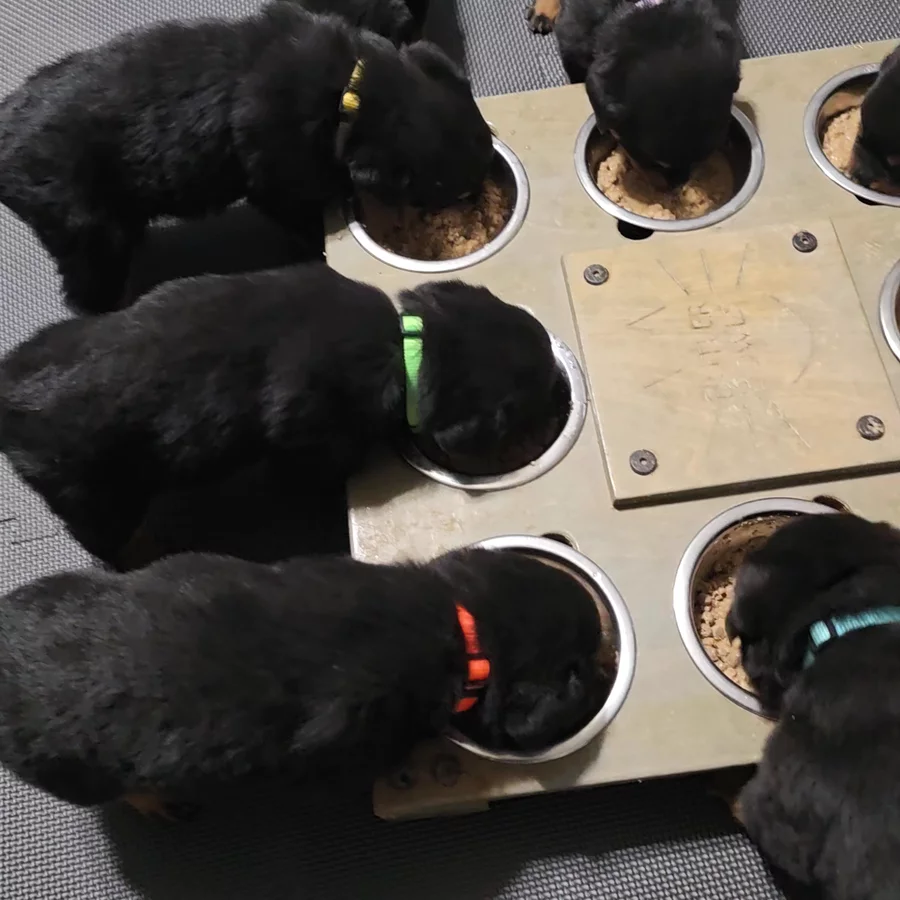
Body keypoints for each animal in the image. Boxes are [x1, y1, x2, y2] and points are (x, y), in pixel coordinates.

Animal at [0, 1, 492, 314]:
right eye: (447, 188)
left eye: (486, 142)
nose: (480, 197)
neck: (351, 88)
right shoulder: (279, 181)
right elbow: (304, 215)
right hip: (86, 230)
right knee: (87, 290)